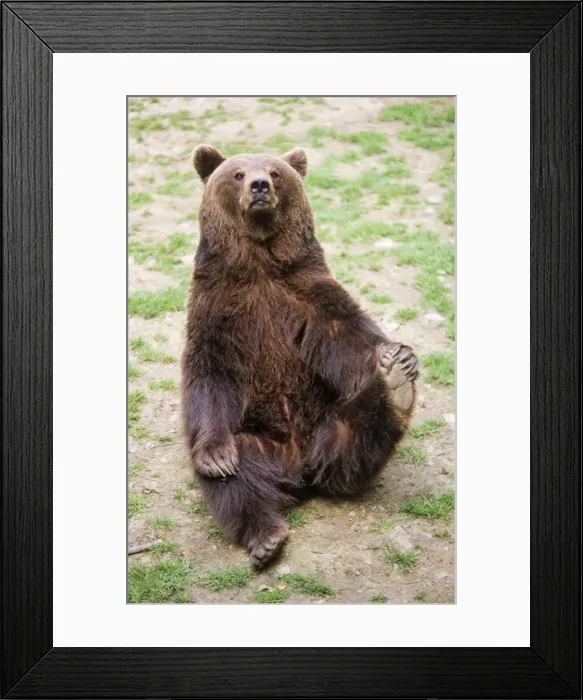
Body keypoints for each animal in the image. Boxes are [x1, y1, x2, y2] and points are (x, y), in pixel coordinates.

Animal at [181, 144, 419, 569]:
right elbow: (209, 372)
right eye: (238, 174)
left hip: (331, 423)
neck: (258, 263)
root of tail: (301, 469)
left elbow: (350, 336)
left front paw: (398, 357)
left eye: (275, 172)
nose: (260, 185)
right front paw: (216, 457)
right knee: (238, 480)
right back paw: (265, 537)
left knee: (359, 431)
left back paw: (396, 387)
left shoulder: (307, 293)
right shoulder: (217, 309)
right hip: (259, 442)